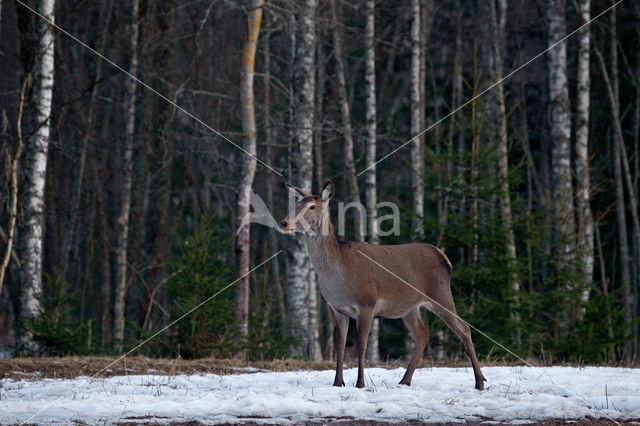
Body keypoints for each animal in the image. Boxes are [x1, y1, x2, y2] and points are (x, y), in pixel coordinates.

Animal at [280, 180, 484, 390]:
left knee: (464, 329)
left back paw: (480, 381)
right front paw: (338, 383)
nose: (284, 223)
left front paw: (360, 384)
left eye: (312, 207)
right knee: (423, 334)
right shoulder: (338, 309)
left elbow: (362, 345)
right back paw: (405, 380)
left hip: (440, 294)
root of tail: (445, 259)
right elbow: (341, 345)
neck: (336, 274)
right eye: (296, 204)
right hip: (409, 307)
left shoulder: (366, 303)